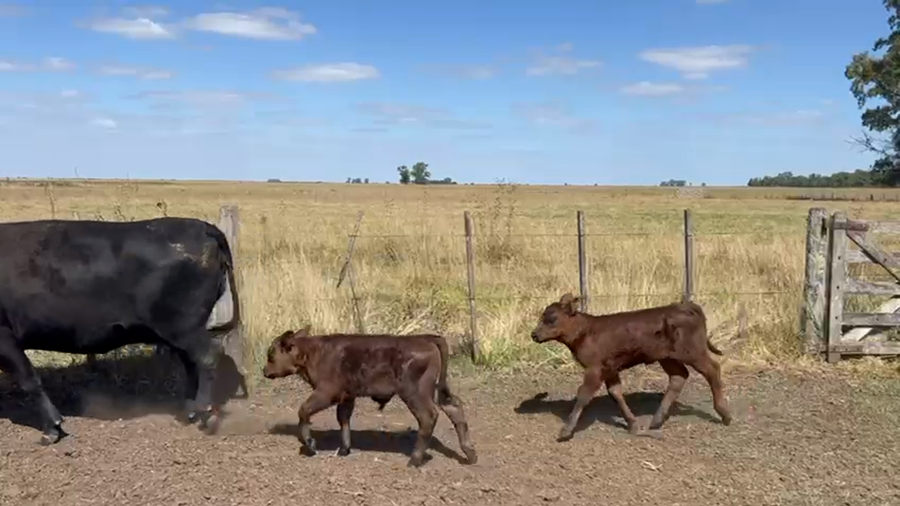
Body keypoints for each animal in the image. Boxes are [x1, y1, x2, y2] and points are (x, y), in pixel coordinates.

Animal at [0, 216, 241, 445]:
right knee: (191, 363)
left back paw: (202, 411)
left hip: (183, 327)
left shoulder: (5, 338)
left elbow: (29, 380)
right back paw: (189, 411)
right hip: (178, 331)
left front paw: (51, 429)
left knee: (207, 356)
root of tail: (203, 227)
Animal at [262, 326, 477, 468]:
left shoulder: (326, 392)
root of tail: (427, 338)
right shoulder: (347, 396)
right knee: (454, 407)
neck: (313, 352)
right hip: (438, 391)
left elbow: (304, 410)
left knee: (428, 417)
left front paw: (310, 444)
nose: (264, 370)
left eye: (271, 354)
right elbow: (343, 419)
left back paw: (414, 460)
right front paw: (344, 450)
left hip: (415, 392)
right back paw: (470, 454)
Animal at [530, 293, 732, 442]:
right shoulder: (610, 369)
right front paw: (633, 424)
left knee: (712, 369)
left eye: (552, 319)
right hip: (667, 357)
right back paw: (657, 420)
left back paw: (725, 414)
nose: (534, 334)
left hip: (692, 351)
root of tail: (686, 306)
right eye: (542, 316)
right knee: (679, 376)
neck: (586, 332)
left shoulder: (595, 368)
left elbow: (583, 395)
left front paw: (566, 430)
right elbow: (616, 393)